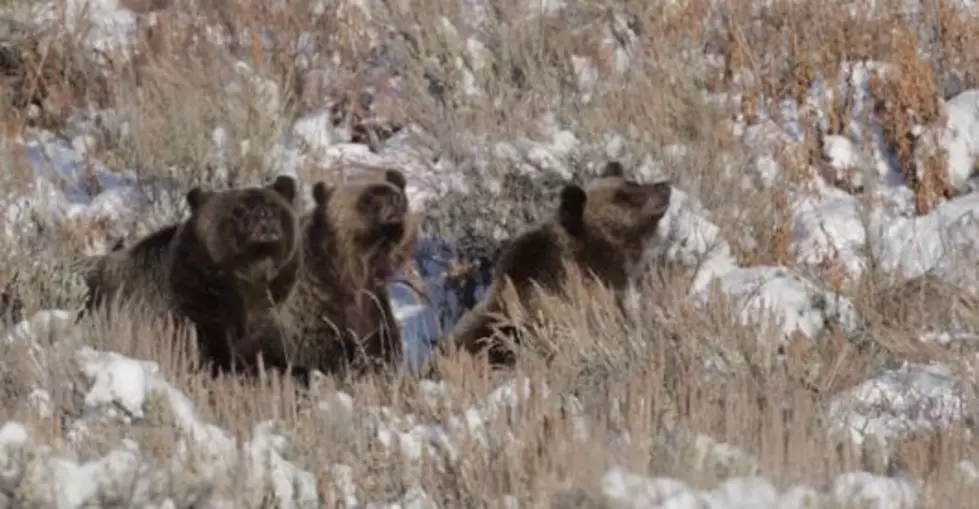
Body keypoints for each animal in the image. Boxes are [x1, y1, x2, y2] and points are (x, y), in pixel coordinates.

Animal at [284, 169, 422, 380]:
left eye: (396, 193)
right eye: (367, 199)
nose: (394, 202)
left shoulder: (373, 308)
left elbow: (382, 347)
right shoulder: (315, 312)